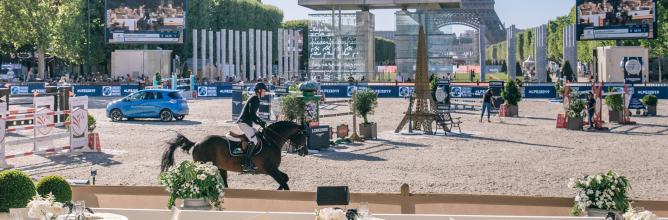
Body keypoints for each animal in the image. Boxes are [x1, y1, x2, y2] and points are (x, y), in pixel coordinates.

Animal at [160, 121, 310, 190]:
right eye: (304, 136)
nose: (304, 152)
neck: (271, 140)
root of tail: (196, 143)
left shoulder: (273, 170)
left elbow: (285, 179)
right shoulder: (270, 170)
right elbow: (285, 182)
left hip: (220, 168)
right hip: (205, 168)